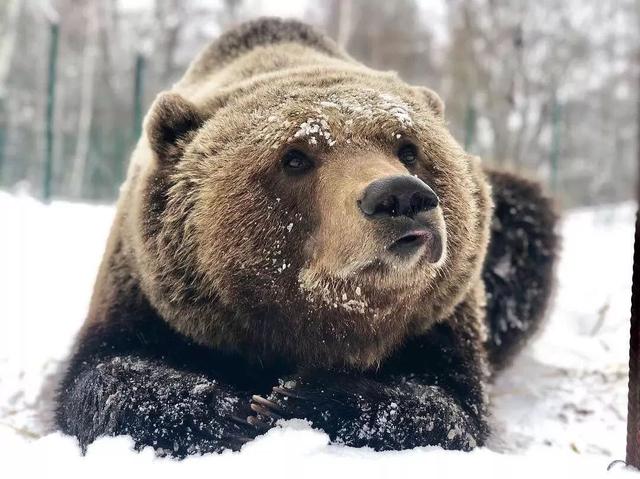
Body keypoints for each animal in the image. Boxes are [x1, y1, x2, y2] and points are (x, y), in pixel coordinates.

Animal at [56, 16, 556, 456]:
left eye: (409, 147)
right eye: (294, 157)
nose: (400, 197)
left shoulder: (441, 323)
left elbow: (449, 405)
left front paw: (301, 397)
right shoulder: (152, 289)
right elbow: (104, 373)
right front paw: (230, 412)